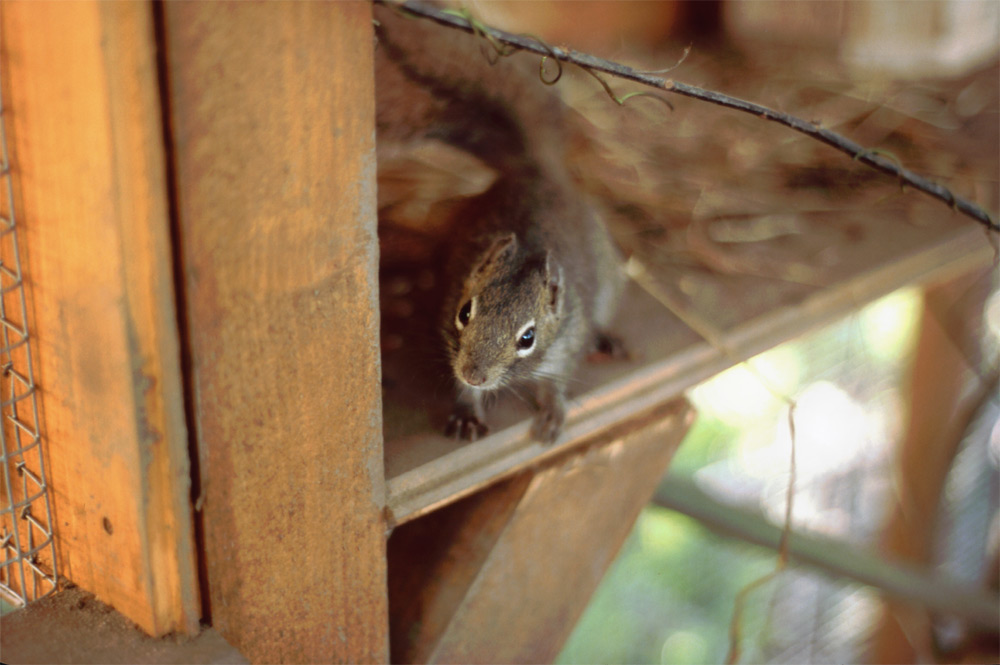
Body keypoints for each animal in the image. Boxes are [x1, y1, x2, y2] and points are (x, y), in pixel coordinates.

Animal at [376, 5, 624, 444]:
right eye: (464, 313)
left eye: (528, 338)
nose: (475, 375)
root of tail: (538, 173)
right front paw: (467, 410)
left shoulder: (567, 341)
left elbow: (557, 382)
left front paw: (553, 412)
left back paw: (608, 337)